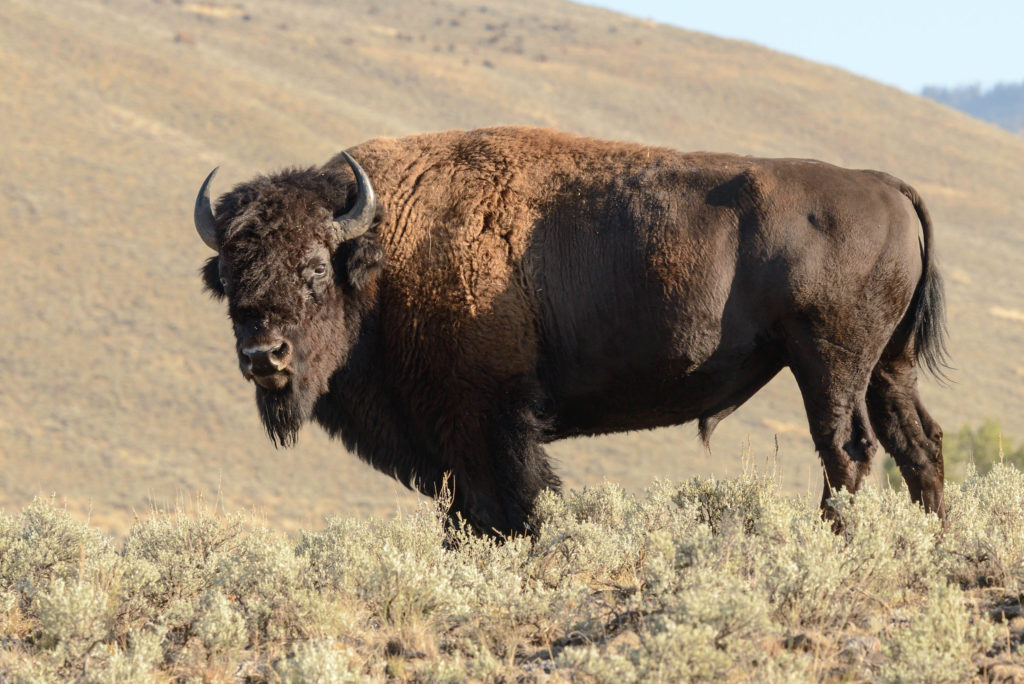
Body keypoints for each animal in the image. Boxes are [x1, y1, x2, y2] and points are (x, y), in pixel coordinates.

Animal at [193, 126, 950, 532]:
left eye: (315, 268)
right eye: (228, 274)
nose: (264, 355)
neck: (387, 243)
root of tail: (885, 185)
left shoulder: (488, 417)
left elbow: (513, 501)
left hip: (828, 362)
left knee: (847, 450)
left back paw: (834, 539)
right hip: (888, 365)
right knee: (918, 443)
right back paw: (934, 536)